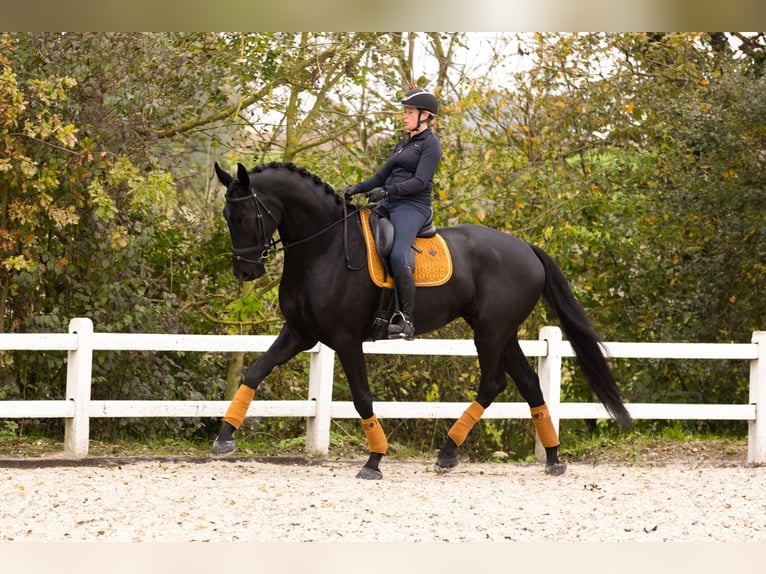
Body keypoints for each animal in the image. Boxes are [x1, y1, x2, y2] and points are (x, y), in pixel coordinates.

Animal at [210, 163, 632, 482]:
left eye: (245, 216)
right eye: (227, 217)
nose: (245, 271)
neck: (323, 248)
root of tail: (526, 248)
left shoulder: (345, 339)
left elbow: (362, 397)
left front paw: (374, 460)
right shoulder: (300, 333)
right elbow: (255, 373)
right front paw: (224, 438)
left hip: (490, 331)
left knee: (493, 383)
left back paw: (451, 450)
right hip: (502, 332)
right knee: (528, 385)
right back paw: (550, 457)